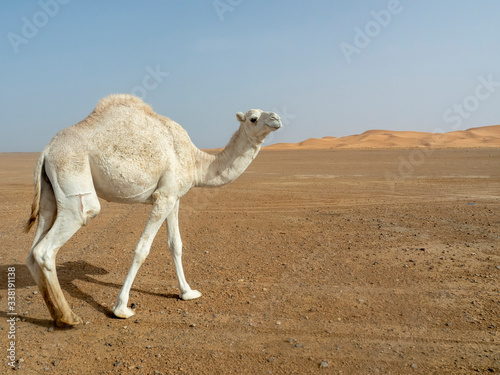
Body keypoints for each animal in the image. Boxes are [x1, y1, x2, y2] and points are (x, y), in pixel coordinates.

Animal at [24, 95, 282, 328]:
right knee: (50, 246)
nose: (277, 118)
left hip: (50, 193)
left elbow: (175, 245)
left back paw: (57, 315)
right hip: (72, 173)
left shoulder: (174, 198)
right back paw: (69, 317)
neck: (196, 162)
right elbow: (142, 249)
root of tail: (46, 150)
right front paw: (121, 308)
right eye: (253, 118)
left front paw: (187, 292)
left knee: (33, 251)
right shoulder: (163, 197)